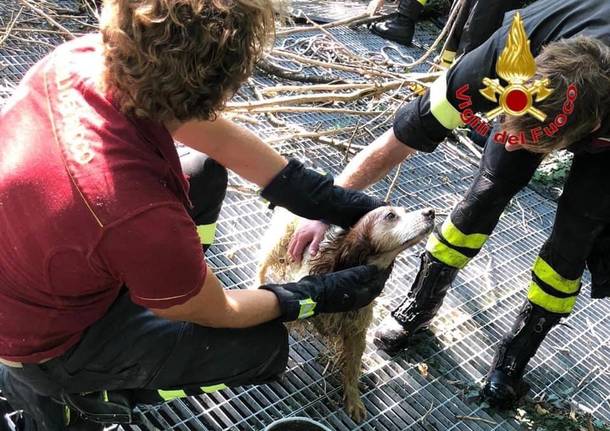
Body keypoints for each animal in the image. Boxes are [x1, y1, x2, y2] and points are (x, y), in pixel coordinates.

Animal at [255, 206, 432, 422]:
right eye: (390, 215)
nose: (431, 212)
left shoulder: (356, 332)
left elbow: (352, 369)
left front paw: (354, 401)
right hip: (279, 242)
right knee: (262, 266)